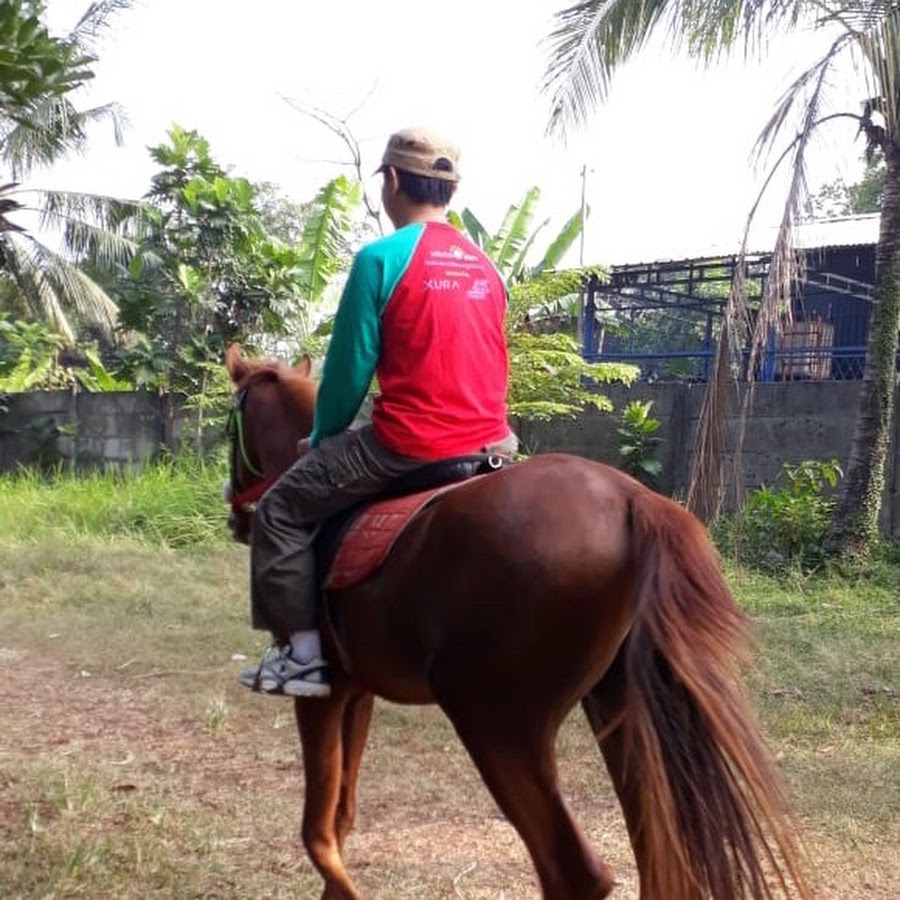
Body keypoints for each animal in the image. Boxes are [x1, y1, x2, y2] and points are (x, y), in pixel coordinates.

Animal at [224, 343, 812, 900]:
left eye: (231, 427)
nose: (235, 513)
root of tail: (634, 500)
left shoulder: (319, 696)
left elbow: (318, 832)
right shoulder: (355, 691)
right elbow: (342, 818)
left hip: (496, 722)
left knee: (576, 874)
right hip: (622, 713)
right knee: (661, 855)